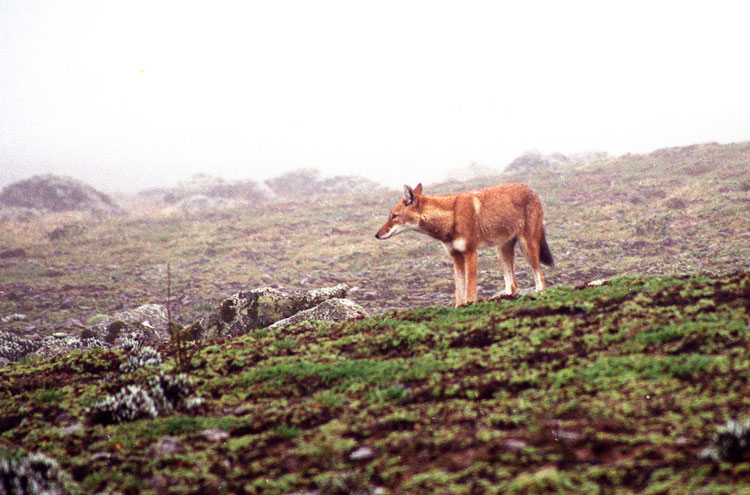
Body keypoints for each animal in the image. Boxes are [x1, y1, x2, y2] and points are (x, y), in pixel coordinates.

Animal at [374, 182, 552, 306]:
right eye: (390, 216)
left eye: (394, 216)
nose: (377, 235)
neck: (451, 218)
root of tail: (531, 191)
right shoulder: (456, 256)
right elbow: (459, 290)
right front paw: (459, 307)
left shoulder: (471, 253)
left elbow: (470, 289)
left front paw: (469, 305)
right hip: (501, 253)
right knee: (513, 284)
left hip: (527, 249)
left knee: (541, 279)